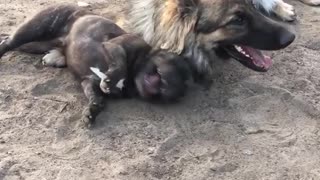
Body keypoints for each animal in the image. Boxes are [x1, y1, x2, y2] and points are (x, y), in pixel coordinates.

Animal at [0, 4, 190, 125]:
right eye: (172, 65)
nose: (172, 87)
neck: (133, 73)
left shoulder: (88, 82)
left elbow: (96, 98)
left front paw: (92, 110)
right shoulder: (115, 45)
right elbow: (120, 62)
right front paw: (111, 79)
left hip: (36, 44)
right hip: (36, 28)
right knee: (8, 42)